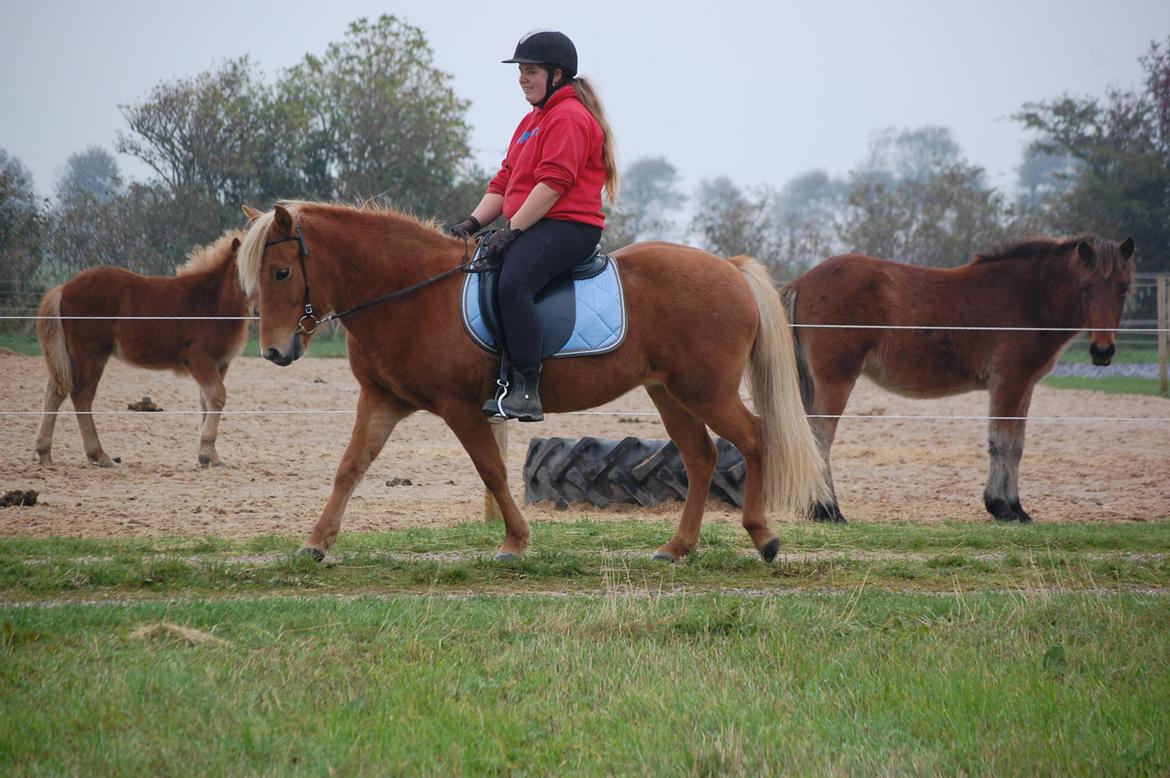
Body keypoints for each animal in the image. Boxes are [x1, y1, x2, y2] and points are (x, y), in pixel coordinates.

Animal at [35, 228, 249, 463]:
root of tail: (64, 288)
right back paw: (99, 455)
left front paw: (210, 455)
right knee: (81, 395)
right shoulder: (199, 359)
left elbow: (206, 401)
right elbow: (217, 397)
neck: (212, 302)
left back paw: (45, 453)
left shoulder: (220, 364)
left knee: (56, 390)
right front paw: (208, 453)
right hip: (90, 355)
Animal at [235, 200, 823, 561]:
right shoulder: (380, 401)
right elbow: (349, 468)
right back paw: (678, 548)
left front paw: (515, 542)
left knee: (753, 439)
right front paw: (316, 543)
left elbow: (491, 470)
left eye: (282, 272)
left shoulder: (459, 406)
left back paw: (763, 536)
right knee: (701, 457)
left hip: (706, 390)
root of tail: (730, 269)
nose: (275, 352)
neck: (411, 292)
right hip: (669, 393)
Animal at [786, 233, 1132, 524]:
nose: (1102, 351)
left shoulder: (1026, 386)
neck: (1029, 297)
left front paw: (1018, 509)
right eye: (1086, 287)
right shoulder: (1008, 382)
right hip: (837, 379)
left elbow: (1017, 445)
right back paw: (828, 510)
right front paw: (1000, 507)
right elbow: (1001, 442)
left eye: (1123, 288)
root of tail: (802, 282)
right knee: (821, 438)